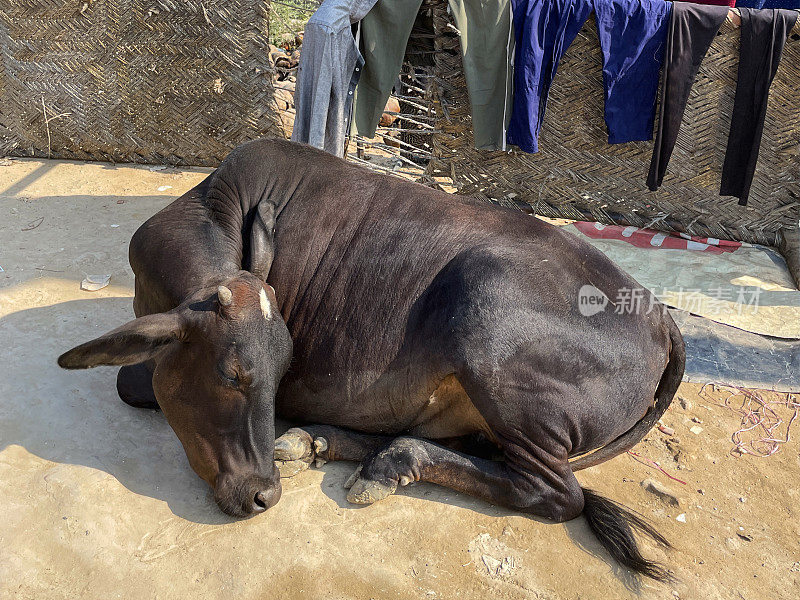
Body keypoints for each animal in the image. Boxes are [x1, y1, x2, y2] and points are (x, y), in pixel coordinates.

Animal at [59, 137, 684, 580]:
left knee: (556, 493)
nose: (263, 494)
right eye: (230, 375)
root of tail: (658, 314)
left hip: (489, 317)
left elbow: (132, 384)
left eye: (274, 376)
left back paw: (387, 460)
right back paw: (321, 443)